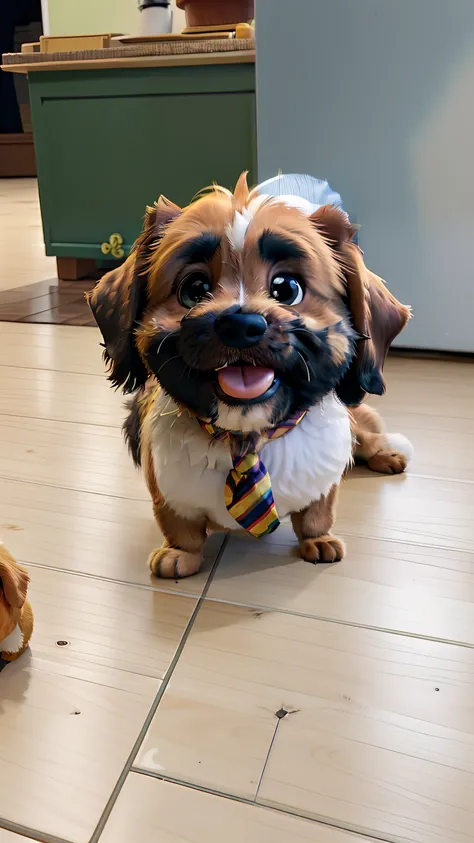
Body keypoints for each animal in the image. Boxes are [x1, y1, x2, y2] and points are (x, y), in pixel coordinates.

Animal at [88, 171, 412, 580]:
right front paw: (179, 553)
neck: (246, 438)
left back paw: (387, 456)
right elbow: (180, 526)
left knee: (367, 441)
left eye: (287, 289)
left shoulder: (323, 485)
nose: (241, 324)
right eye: (194, 290)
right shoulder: (166, 489)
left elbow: (318, 512)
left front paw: (318, 540)